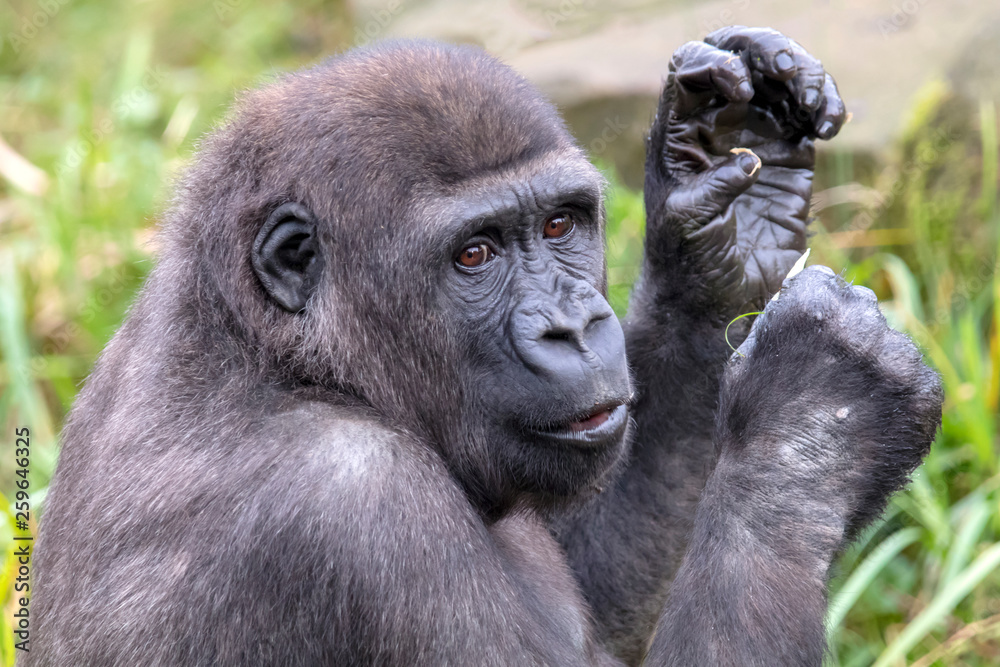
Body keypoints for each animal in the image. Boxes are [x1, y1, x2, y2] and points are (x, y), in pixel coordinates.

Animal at [26, 27, 941, 666]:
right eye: (475, 254)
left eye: (561, 224)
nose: (572, 326)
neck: (273, 354)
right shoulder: (356, 506)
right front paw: (820, 417)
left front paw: (710, 213)